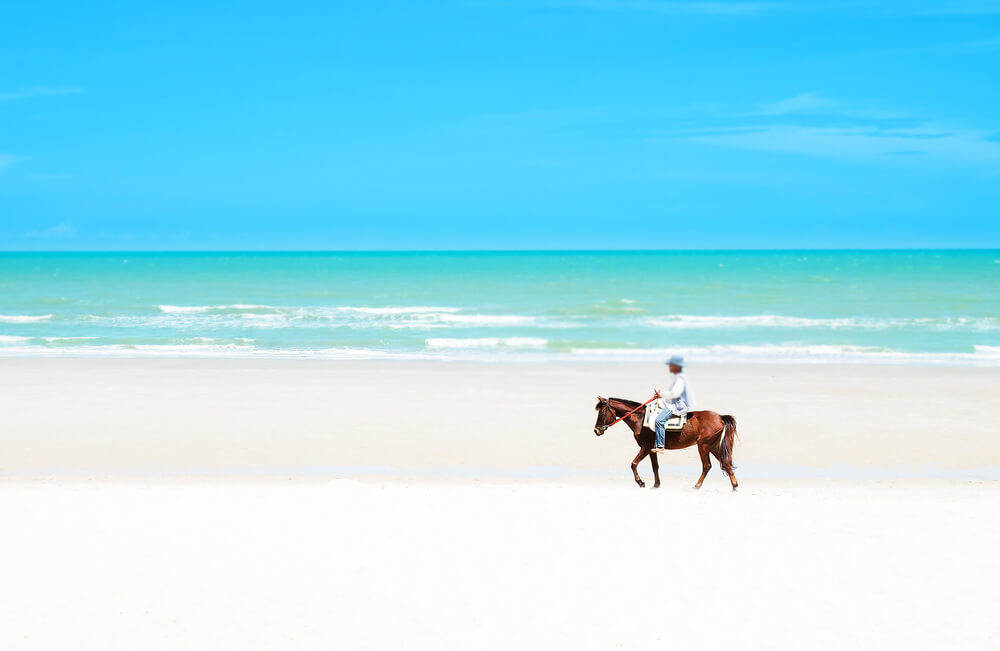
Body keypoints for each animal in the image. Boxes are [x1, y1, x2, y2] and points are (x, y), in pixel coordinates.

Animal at [588, 394, 740, 492]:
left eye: (602, 412)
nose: (596, 430)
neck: (640, 419)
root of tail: (720, 417)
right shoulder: (652, 449)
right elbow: (655, 466)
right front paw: (656, 485)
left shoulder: (646, 447)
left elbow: (633, 464)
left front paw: (641, 482)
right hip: (713, 446)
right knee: (725, 463)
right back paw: (734, 486)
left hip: (703, 446)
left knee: (707, 466)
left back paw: (696, 486)